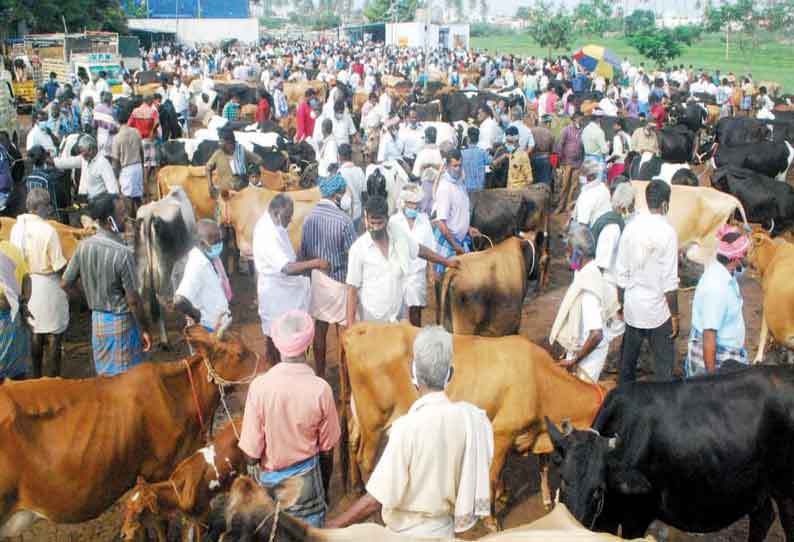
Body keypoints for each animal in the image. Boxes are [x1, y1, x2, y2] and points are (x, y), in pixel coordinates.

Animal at [135, 189, 196, 346]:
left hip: (141, 263)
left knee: (138, 295)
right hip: (164, 264)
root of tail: (149, 213)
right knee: (160, 295)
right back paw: (164, 340)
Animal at [340, 324, 608, 520]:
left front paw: (506, 496)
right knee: (366, 458)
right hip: (374, 421)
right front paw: (491, 519)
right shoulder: (502, 431)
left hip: (360, 416)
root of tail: (359, 329)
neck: (541, 381)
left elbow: (526, 468)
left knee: (352, 440)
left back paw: (355, 488)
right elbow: (492, 475)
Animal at [544, 366, 794, 542]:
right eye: (563, 480)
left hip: (786, 493)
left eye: (598, 489)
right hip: (758, 488)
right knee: (762, 518)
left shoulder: (638, 517)